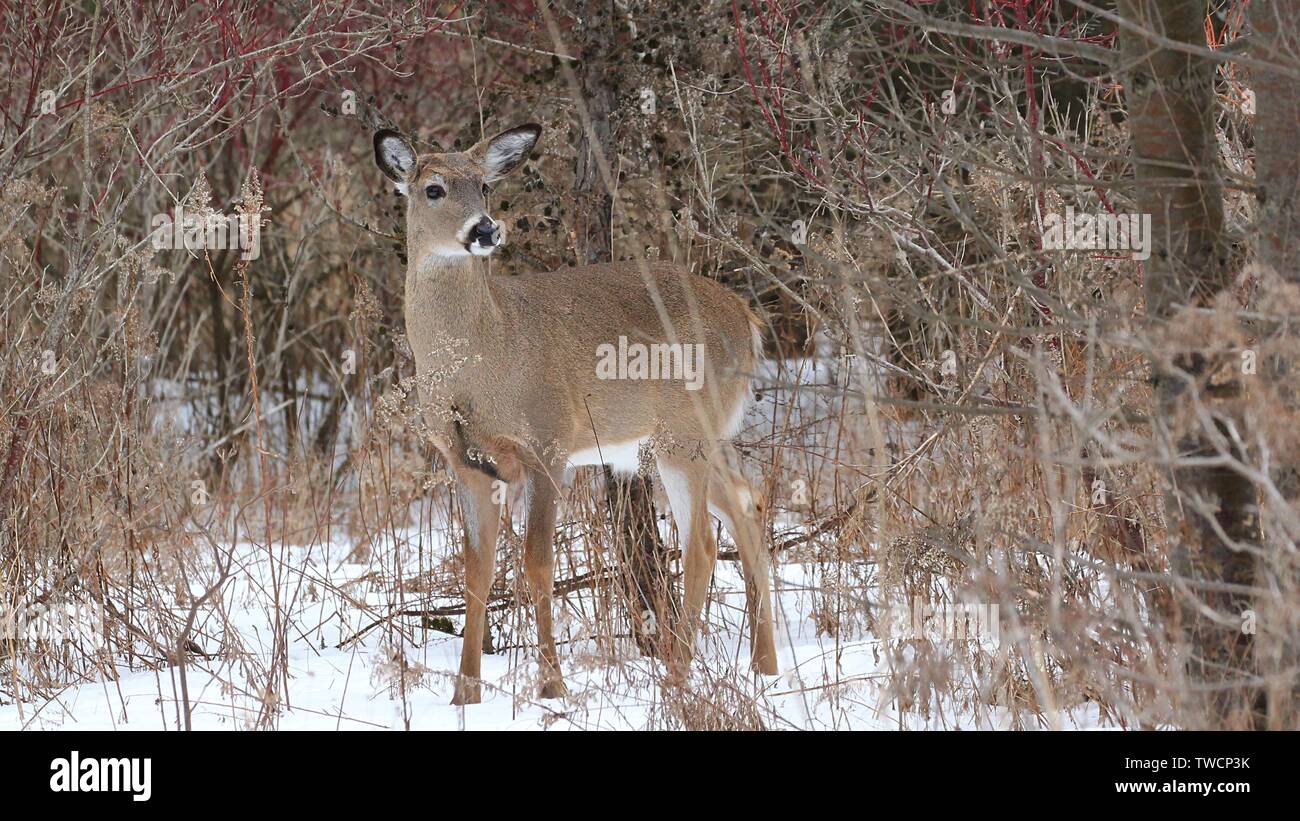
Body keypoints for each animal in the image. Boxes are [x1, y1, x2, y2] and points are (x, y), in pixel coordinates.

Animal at [377, 122, 774, 706]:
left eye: (485, 186)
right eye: (434, 189)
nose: (486, 230)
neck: (485, 357)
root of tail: (746, 317)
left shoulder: (549, 443)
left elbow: (537, 565)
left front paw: (552, 684)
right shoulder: (466, 463)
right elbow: (478, 571)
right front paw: (464, 695)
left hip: (684, 432)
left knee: (701, 540)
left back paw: (678, 674)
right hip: (692, 436)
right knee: (748, 501)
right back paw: (764, 665)